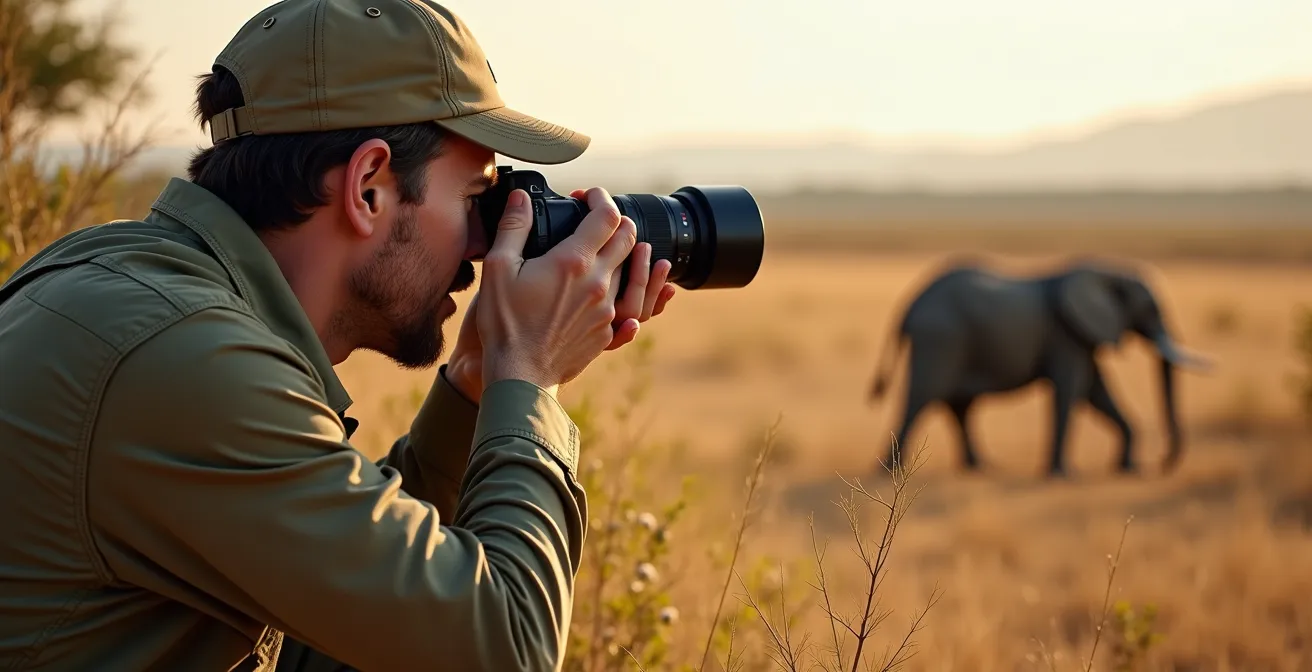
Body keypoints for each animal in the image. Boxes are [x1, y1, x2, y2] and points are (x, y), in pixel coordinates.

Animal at [866, 258, 1214, 477]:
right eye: (1151, 310)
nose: (1162, 462)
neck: (1107, 270)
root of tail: (909, 306)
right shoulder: (1066, 334)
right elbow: (1073, 390)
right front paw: (1064, 475)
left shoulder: (1081, 335)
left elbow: (1096, 391)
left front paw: (1128, 468)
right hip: (940, 339)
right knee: (921, 399)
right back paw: (889, 473)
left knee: (959, 407)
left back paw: (980, 467)